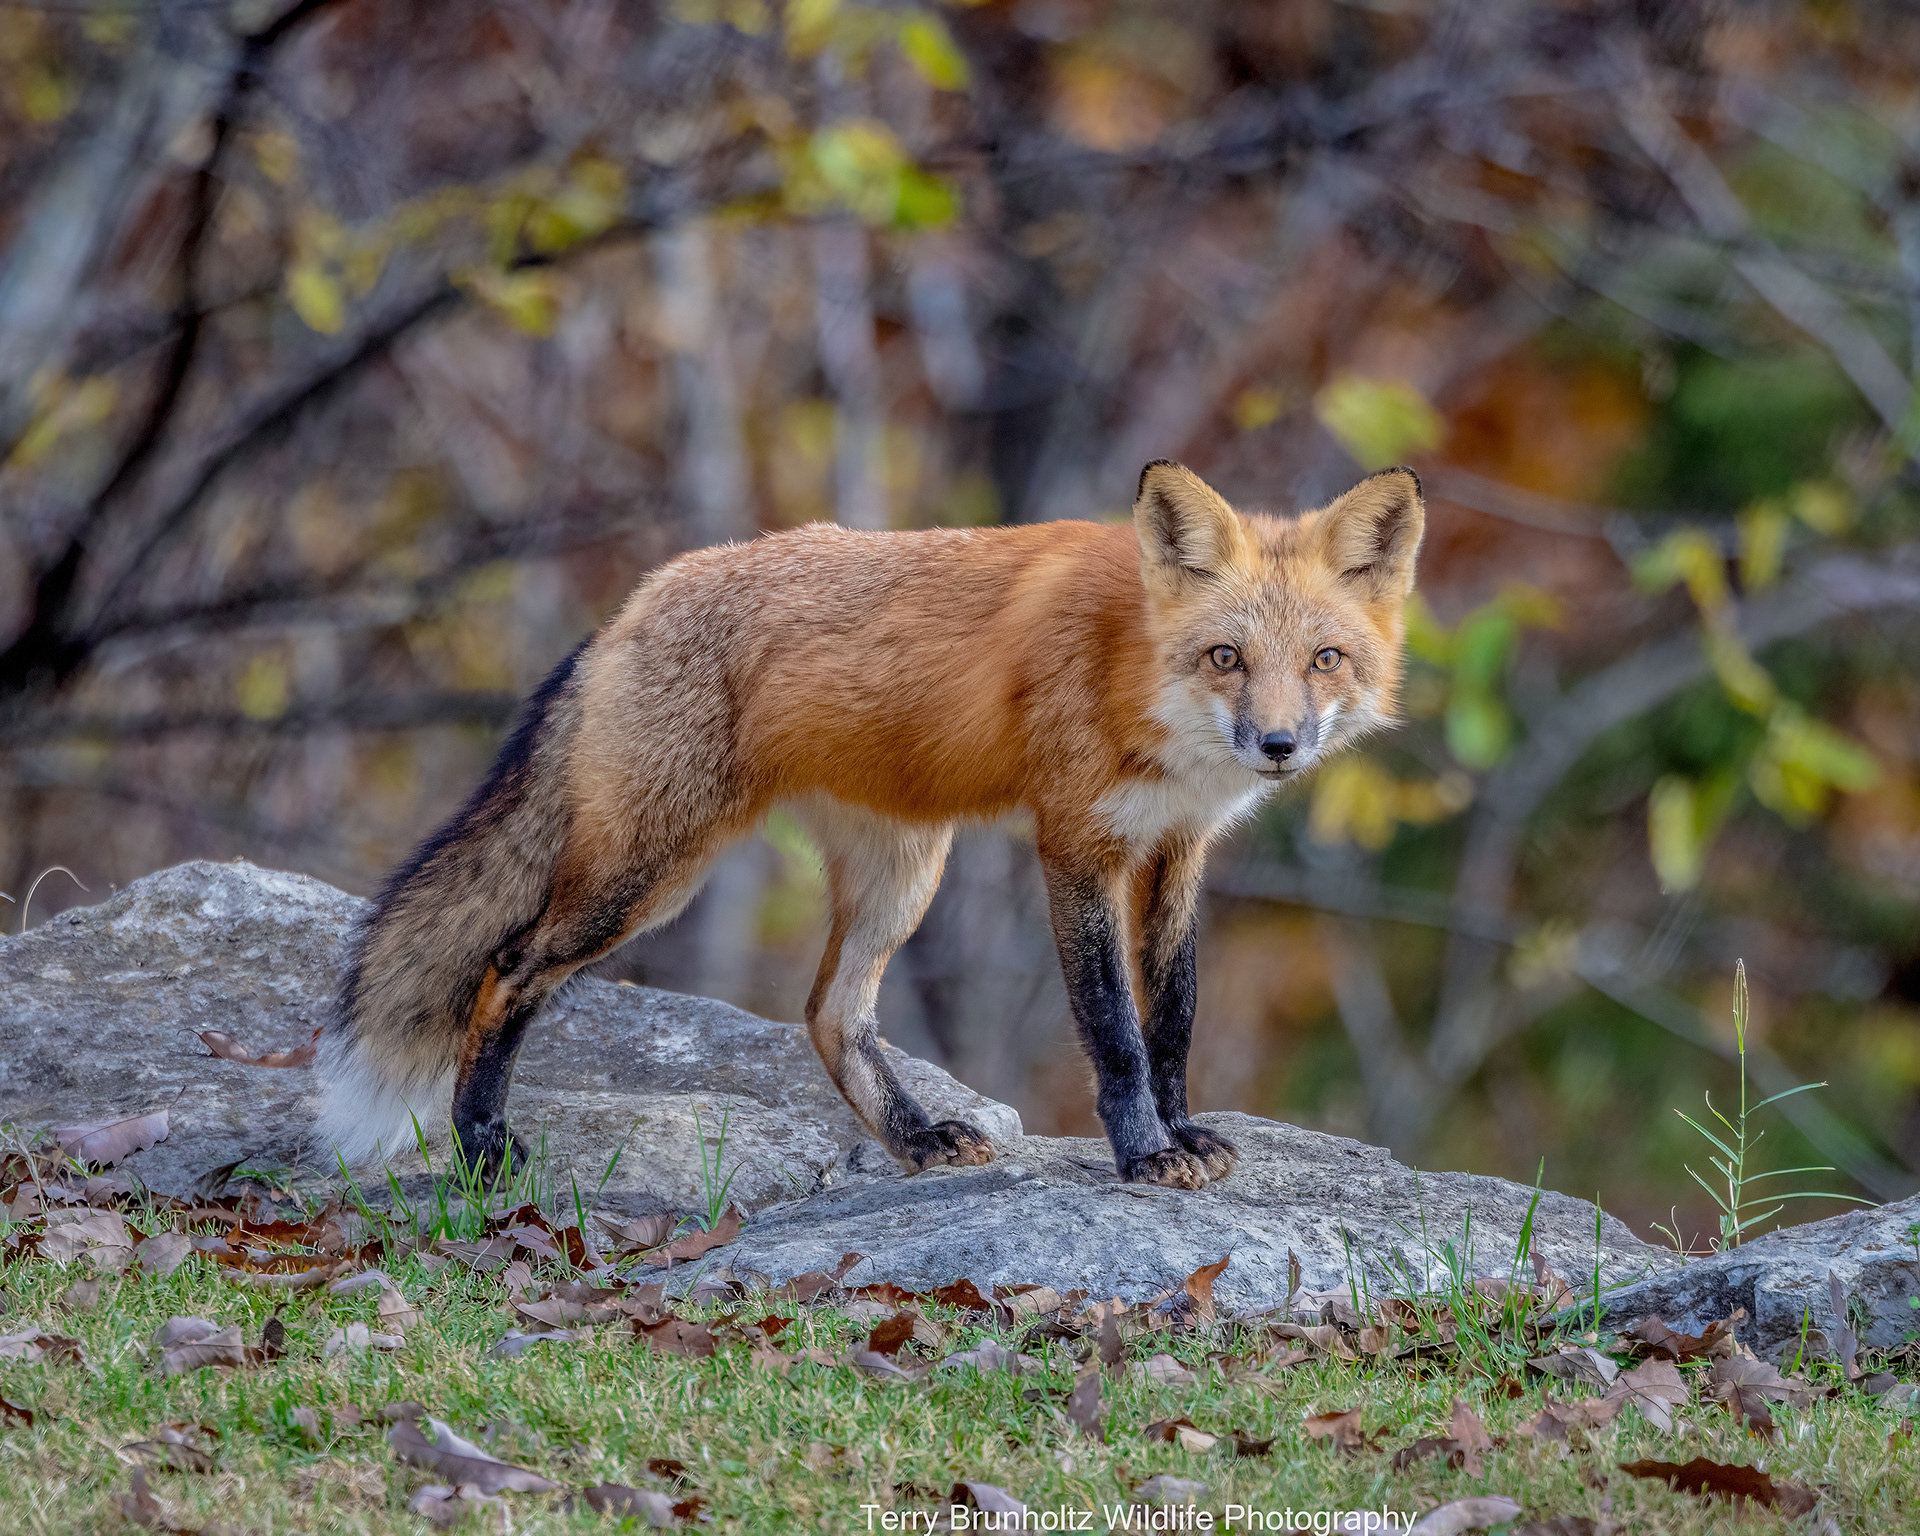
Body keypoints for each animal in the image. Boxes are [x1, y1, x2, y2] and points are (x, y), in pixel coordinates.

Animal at [314, 460, 1423, 1189]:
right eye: (1226, 656)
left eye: (1324, 658)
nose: (1278, 744)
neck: (1134, 673)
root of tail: (632, 605)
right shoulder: (1077, 845)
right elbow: (1113, 1027)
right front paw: (1143, 1151)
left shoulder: (1178, 848)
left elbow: (1175, 1016)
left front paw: (1181, 1131)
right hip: (648, 874)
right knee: (506, 967)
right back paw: (480, 1145)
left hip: (902, 875)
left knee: (828, 1012)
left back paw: (914, 1137)